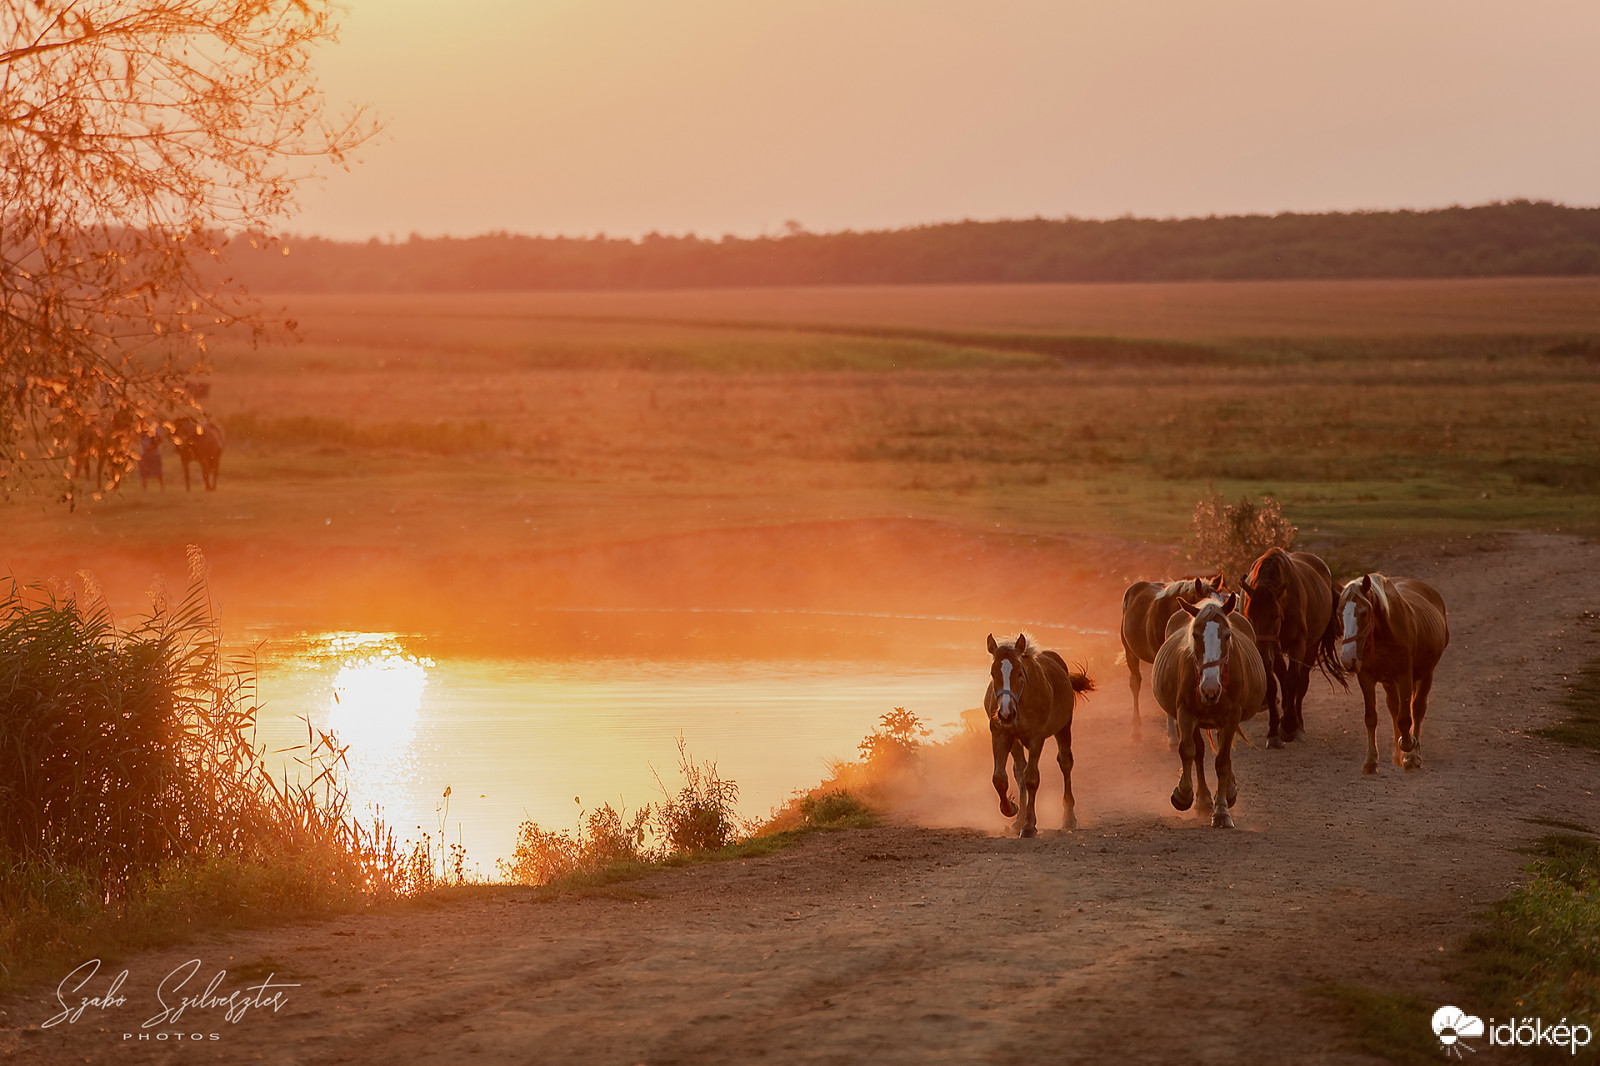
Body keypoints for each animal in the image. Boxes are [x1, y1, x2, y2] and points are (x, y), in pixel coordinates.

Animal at [979, 627, 1094, 832]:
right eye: (993, 673)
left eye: (1019, 672)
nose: (1005, 713)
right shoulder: (1001, 734)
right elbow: (1000, 778)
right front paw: (1012, 809)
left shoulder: (1036, 738)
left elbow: (1032, 778)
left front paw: (1029, 825)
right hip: (1015, 741)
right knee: (1019, 770)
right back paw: (1018, 819)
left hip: (1064, 727)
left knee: (1065, 763)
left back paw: (1068, 819)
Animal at [1158, 592, 1267, 825]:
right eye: (1195, 634)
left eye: (1227, 635)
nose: (1210, 689)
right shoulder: (1185, 712)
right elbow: (1188, 750)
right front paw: (1183, 794)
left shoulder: (1232, 716)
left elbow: (1222, 760)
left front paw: (1221, 810)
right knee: (1198, 752)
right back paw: (1203, 800)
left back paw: (1226, 792)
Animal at [1235, 547, 1337, 745]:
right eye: (1249, 616)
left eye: (1275, 615)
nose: (1262, 656)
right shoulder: (1271, 649)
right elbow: (1273, 685)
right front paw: (1274, 730)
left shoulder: (1298, 645)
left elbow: (1292, 681)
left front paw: (1289, 725)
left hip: (1311, 647)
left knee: (1301, 682)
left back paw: (1298, 724)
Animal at [1337, 573, 1452, 771]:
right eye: (1339, 614)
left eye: (1364, 613)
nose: (1348, 659)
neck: (1384, 635)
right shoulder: (1366, 677)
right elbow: (1371, 717)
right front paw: (1371, 761)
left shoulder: (1404, 675)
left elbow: (1406, 718)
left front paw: (1409, 746)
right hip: (1389, 683)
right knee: (1394, 708)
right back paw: (1399, 756)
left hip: (1426, 674)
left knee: (1418, 709)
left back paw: (1412, 756)